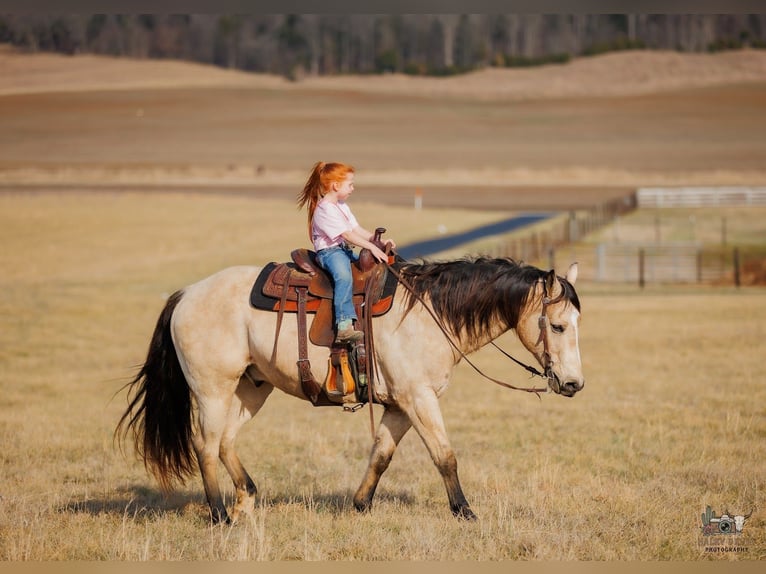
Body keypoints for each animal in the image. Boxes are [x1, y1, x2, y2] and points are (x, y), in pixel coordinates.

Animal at [116, 255, 584, 523]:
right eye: (558, 325)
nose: (574, 384)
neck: (428, 312)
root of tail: (186, 294)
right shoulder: (418, 398)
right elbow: (445, 455)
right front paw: (465, 512)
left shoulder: (399, 404)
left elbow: (381, 456)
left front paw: (360, 505)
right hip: (212, 389)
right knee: (206, 445)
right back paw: (218, 515)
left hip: (252, 387)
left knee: (227, 442)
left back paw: (245, 502)